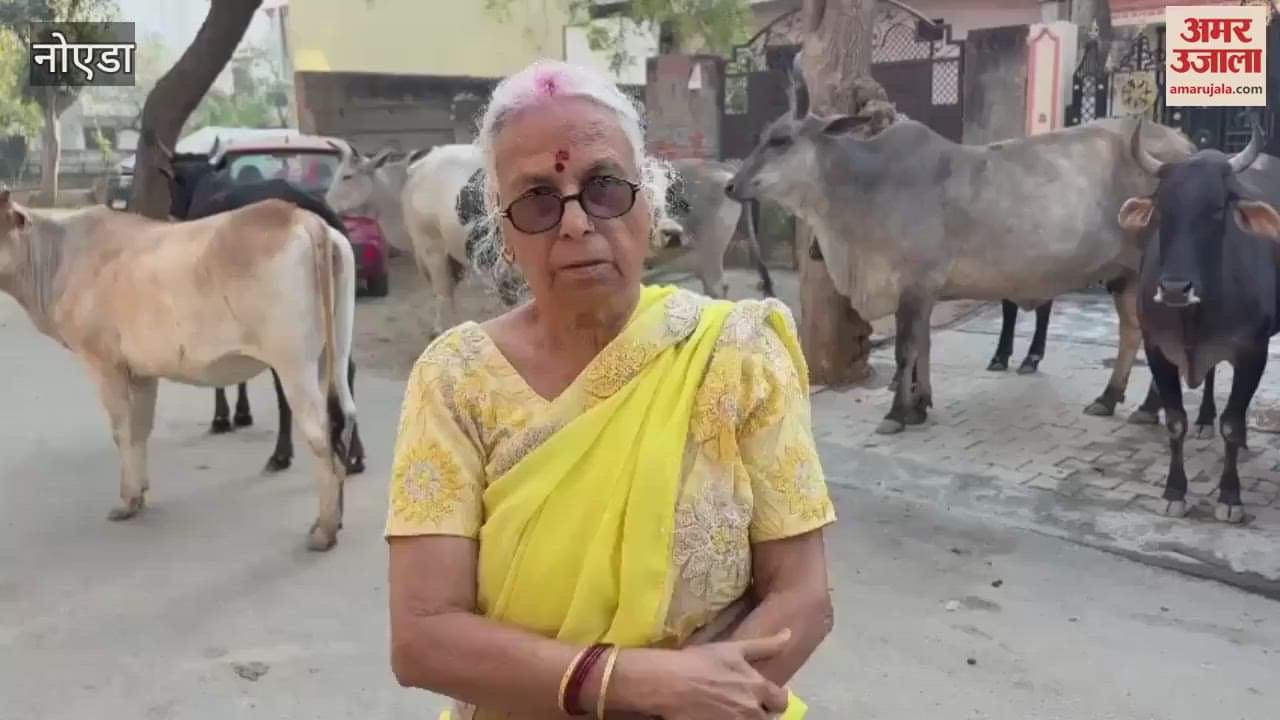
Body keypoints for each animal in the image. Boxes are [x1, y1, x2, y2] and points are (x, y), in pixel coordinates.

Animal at [0, 190, 357, 551]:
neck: (57, 256)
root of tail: (301, 217)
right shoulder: (141, 372)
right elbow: (139, 430)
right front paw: (140, 491)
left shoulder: (104, 364)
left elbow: (121, 431)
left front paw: (126, 500)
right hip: (333, 354)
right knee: (343, 416)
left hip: (293, 365)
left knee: (320, 434)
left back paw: (325, 531)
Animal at [158, 144, 365, 476]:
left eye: (171, 183)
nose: (172, 213)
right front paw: (241, 413)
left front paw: (224, 416)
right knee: (345, 369)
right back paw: (355, 454)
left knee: (287, 386)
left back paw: (281, 453)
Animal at [724, 64, 1195, 434]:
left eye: (781, 139)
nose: (732, 185)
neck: (867, 185)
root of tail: (1185, 145)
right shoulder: (923, 292)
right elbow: (924, 345)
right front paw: (920, 405)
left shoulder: (914, 285)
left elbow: (907, 350)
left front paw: (897, 413)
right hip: (1125, 275)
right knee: (1134, 332)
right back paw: (1113, 398)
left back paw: (1147, 407)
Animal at [1118, 120, 1280, 522]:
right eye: (1162, 208)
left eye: (1217, 208)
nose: (1176, 288)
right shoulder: (1157, 348)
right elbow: (1176, 421)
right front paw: (1174, 491)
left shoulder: (1253, 351)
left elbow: (1233, 424)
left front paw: (1230, 496)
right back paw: (1206, 418)